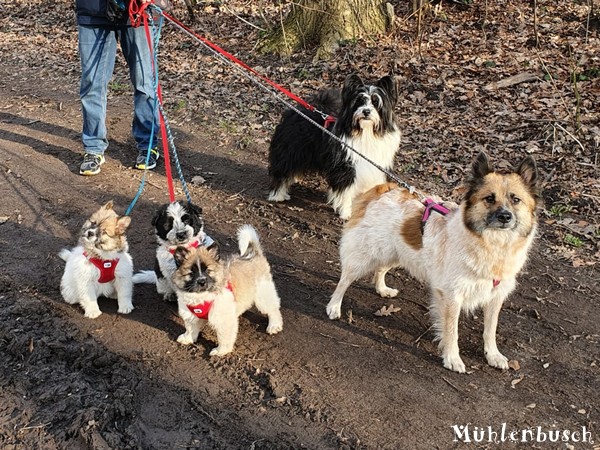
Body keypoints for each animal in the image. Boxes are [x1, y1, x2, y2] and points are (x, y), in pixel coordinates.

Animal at [171, 225, 284, 356]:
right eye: (191, 273)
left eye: (208, 270)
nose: (202, 281)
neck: (201, 297)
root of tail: (253, 254)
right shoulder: (190, 315)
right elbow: (190, 328)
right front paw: (188, 338)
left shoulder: (223, 320)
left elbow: (223, 337)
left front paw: (221, 351)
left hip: (263, 294)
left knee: (273, 310)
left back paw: (274, 325)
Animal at [268, 73, 400, 219]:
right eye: (359, 101)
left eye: (376, 102)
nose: (366, 111)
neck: (366, 132)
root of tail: (296, 110)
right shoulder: (346, 168)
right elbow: (346, 190)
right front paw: (346, 212)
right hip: (290, 152)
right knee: (281, 172)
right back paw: (277, 195)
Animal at [326, 152, 540, 372]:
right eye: (489, 198)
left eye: (515, 199)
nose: (505, 216)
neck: (494, 245)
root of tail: (384, 189)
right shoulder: (452, 295)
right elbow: (452, 331)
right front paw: (452, 358)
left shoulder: (495, 296)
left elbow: (490, 330)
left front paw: (493, 355)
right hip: (366, 254)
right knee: (344, 280)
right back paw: (334, 307)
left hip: (397, 253)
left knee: (381, 269)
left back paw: (382, 289)